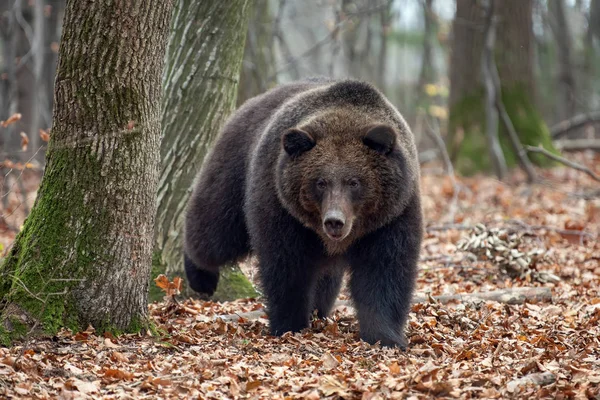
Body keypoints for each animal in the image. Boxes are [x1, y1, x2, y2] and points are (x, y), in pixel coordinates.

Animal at [183, 78, 422, 346]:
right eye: (320, 182)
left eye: (354, 182)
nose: (334, 221)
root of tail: (250, 103)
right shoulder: (282, 208)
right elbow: (287, 266)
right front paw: (289, 324)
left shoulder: (392, 216)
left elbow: (385, 271)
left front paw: (385, 336)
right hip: (235, 169)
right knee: (215, 231)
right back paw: (201, 276)